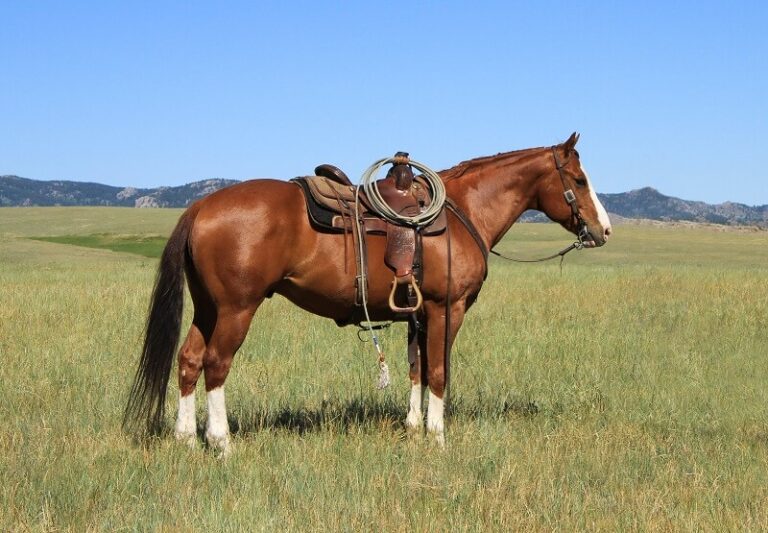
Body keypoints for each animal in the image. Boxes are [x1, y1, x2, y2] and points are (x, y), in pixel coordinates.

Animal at [123, 132, 612, 454]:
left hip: (208, 308)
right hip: (235, 310)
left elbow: (417, 369)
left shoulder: (418, 313)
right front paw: (437, 437)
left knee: (189, 359)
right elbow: (439, 372)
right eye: (579, 181)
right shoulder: (447, 308)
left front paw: (413, 427)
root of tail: (201, 205)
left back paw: (187, 439)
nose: (604, 230)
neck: (462, 213)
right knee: (216, 365)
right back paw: (221, 442)